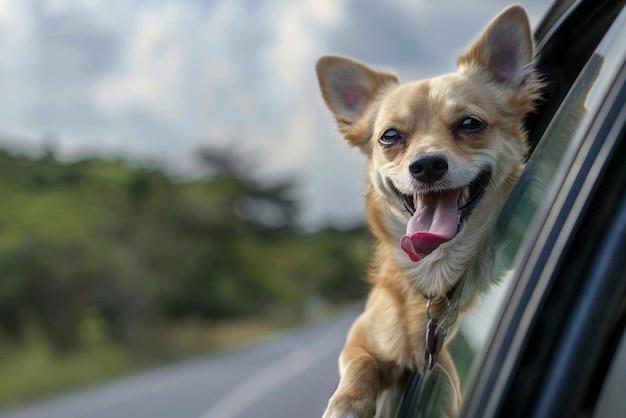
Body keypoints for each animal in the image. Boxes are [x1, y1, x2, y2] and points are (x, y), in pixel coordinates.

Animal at [316, 6, 540, 418]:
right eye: (389, 136)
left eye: (470, 124)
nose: (427, 165)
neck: (435, 269)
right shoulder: (363, 333)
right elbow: (360, 362)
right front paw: (346, 404)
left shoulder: (443, 366)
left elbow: (447, 378)